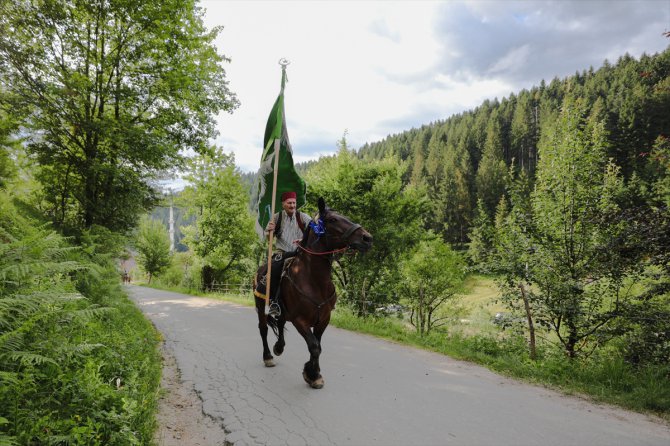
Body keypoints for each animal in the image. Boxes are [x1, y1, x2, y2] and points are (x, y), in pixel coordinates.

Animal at [256, 197, 376, 388]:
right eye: (333, 219)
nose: (367, 238)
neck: (314, 280)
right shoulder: (300, 320)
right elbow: (314, 346)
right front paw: (312, 374)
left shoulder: (324, 319)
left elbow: (318, 345)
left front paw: (314, 372)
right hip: (261, 306)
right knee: (263, 329)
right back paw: (268, 356)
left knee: (280, 324)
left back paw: (279, 347)